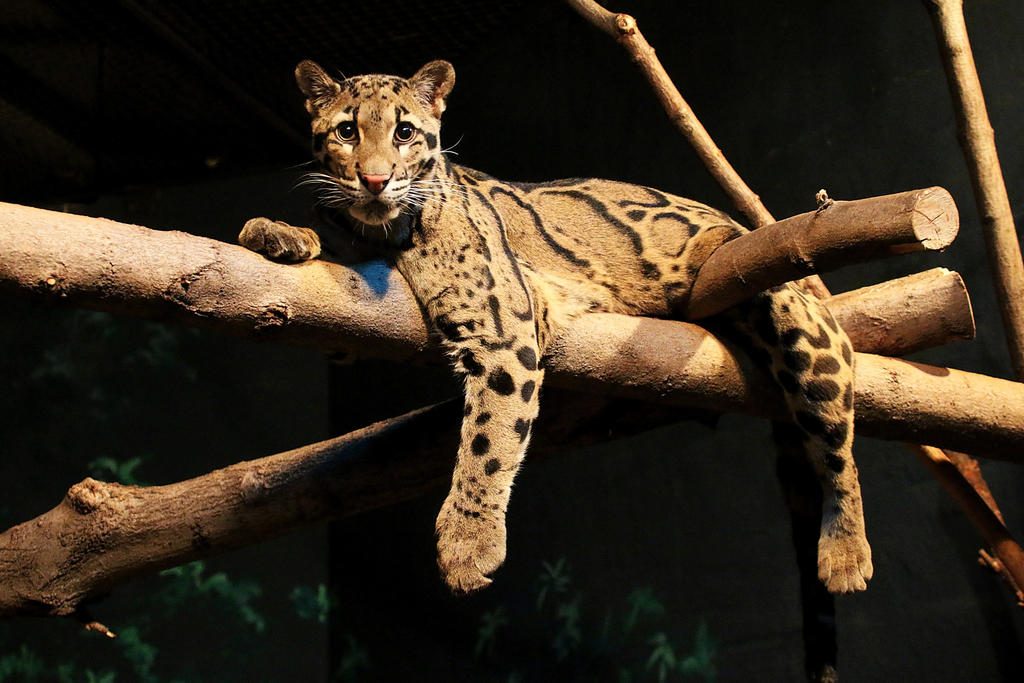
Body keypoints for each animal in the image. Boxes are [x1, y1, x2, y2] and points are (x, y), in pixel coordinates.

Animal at [239, 59, 873, 595]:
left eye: (405, 133)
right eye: (347, 131)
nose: (374, 180)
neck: (378, 232)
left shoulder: (504, 326)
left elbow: (489, 439)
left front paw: (469, 542)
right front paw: (277, 232)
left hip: (795, 315)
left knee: (837, 448)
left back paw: (846, 552)